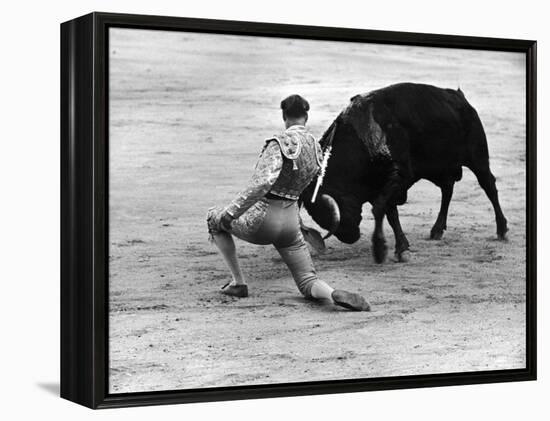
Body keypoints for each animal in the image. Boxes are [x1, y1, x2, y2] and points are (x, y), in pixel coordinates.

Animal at [302, 83, 508, 262]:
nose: (349, 237)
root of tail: (459, 97)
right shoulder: (382, 185)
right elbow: (391, 214)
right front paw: (401, 248)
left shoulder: (398, 176)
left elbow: (380, 208)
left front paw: (380, 249)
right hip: (438, 169)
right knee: (447, 189)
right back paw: (437, 229)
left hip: (478, 158)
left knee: (488, 185)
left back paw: (502, 229)